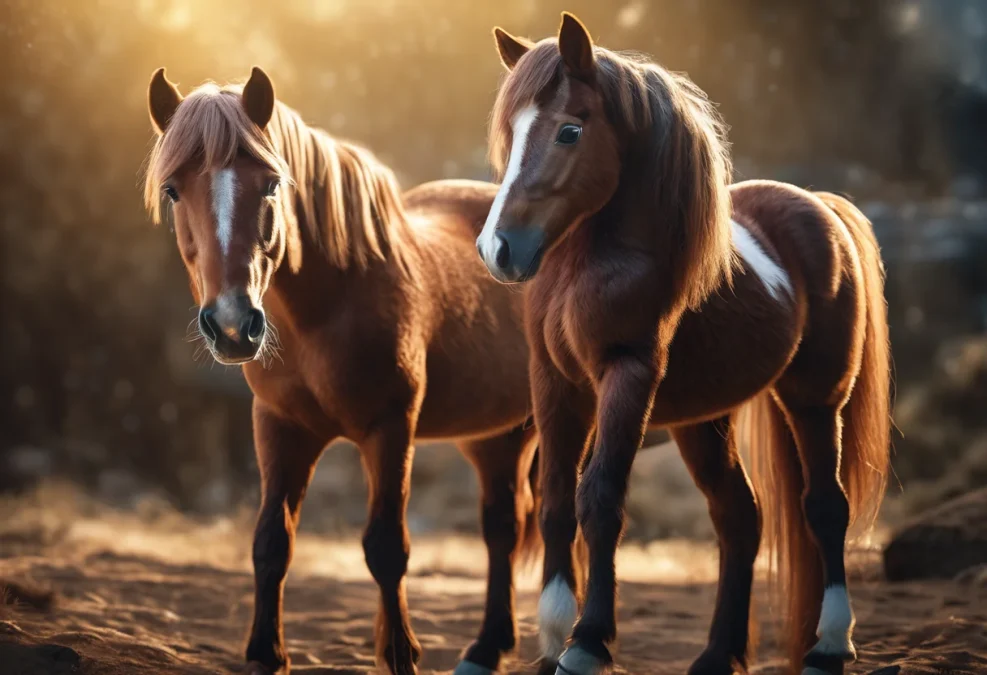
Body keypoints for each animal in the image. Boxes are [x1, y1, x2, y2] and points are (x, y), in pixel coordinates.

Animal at [144, 67, 541, 675]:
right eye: (172, 189)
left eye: (271, 184)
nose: (233, 326)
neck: (328, 308)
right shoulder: (280, 427)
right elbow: (271, 542)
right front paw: (266, 654)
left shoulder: (390, 428)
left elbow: (386, 548)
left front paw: (399, 652)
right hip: (497, 436)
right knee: (503, 527)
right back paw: (487, 646)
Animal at [476, 13, 891, 675]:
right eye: (511, 133)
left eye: (569, 131)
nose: (499, 250)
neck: (589, 266)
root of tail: (819, 206)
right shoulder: (555, 383)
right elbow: (555, 503)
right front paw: (552, 637)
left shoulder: (627, 375)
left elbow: (599, 499)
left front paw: (586, 643)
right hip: (704, 422)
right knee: (740, 518)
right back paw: (719, 654)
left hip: (816, 399)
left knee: (826, 506)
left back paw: (829, 643)